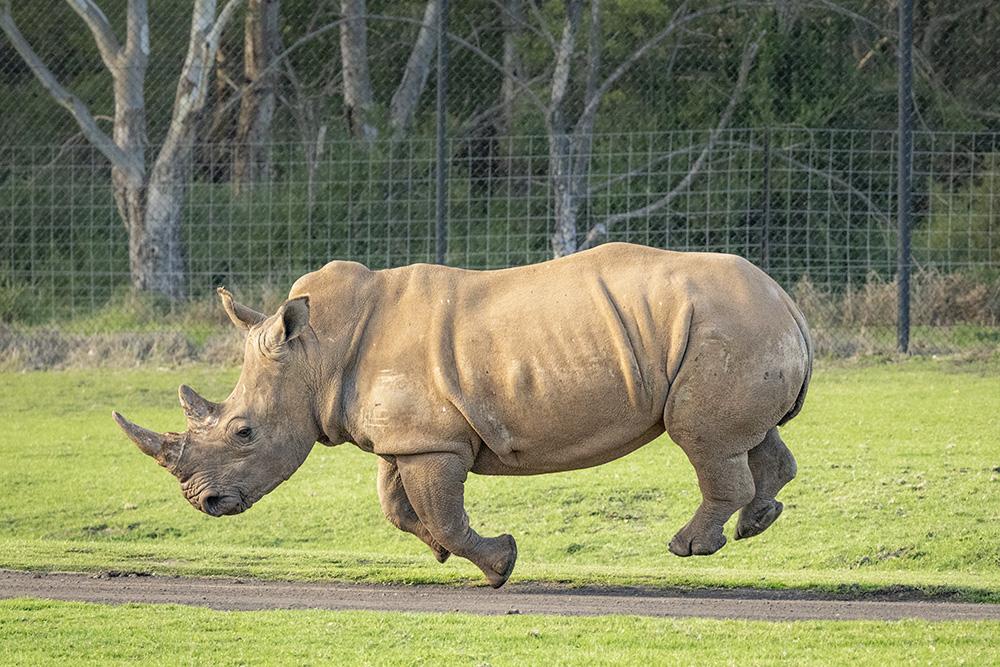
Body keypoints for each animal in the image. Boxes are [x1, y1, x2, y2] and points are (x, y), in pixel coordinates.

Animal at [114, 243, 811, 588]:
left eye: (244, 432)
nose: (203, 503)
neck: (316, 350)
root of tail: (787, 300)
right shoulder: (411, 436)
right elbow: (398, 508)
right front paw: (445, 555)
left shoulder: (430, 442)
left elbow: (442, 512)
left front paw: (499, 566)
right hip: (736, 324)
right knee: (751, 438)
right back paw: (757, 522)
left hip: (726, 324)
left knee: (701, 436)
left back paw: (690, 547)